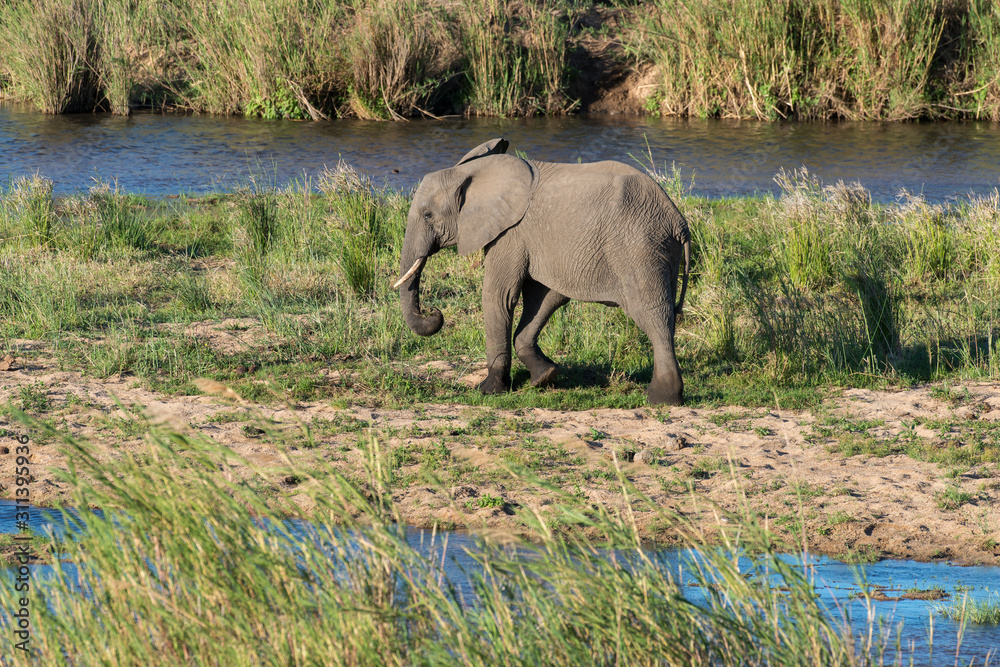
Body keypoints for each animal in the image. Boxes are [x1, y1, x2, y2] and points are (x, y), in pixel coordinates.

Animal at [394, 138, 691, 405]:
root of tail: (678, 222)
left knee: (652, 314)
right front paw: (545, 377)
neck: (476, 172)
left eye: (428, 215)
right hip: (659, 250)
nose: (434, 312)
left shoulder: (510, 233)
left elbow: (498, 296)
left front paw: (489, 390)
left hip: (638, 248)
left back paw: (661, 399)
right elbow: (547, 298)